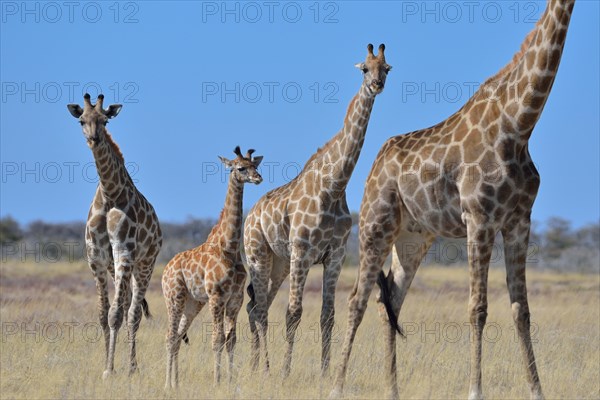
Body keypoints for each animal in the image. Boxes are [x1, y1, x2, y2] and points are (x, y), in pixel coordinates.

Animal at [66, 94, 162, 378]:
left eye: (105, 120)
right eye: (81, 120)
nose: (93, 139)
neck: (109, 194)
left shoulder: (124, 253)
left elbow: (116, 314)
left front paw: (110, 370)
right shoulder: (96, 258)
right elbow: (102, 314)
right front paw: (105, 364)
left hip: (145, 265)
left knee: (133, 313)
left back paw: (132, 367)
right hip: (115, 267)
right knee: (128, 305)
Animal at [162, 147, 262, 388]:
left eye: (255, 165)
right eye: (240, 168)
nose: (258, 178)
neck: (229, 247)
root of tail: (165, 271)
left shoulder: (235, 299)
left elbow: (231, 340)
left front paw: (229, 381)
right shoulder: (216, 297)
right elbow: (217, 340)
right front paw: (217, 382)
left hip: (193, 303)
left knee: (177, 337)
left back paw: (176, 383)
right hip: (174, 297)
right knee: (169, 336)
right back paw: (167, 384)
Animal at [245, 43, 394, 378]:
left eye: (387, 68)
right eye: (364, 68)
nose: (377, 85)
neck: (334, 186)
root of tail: (249, 217)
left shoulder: (334, 255)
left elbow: (328, 315)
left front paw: (326, 372)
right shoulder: (302, 251)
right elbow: (293, 313)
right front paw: (286, 372)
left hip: (279, 263)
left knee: (255, 307)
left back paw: (256, 365)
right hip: (258, 256)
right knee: (259, 309)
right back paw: (266, 369)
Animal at [332, 1, 576, 398]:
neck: (519, 124)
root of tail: (376, 164)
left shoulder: (519, 220)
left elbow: (521, 310)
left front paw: (537, 390)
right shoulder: (479, 217)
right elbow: (478, 308)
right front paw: (475, 390)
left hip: (412, 238)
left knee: (391, 301)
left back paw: (393, 390)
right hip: (375, 225)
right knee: (357, 300)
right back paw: (336, 386)